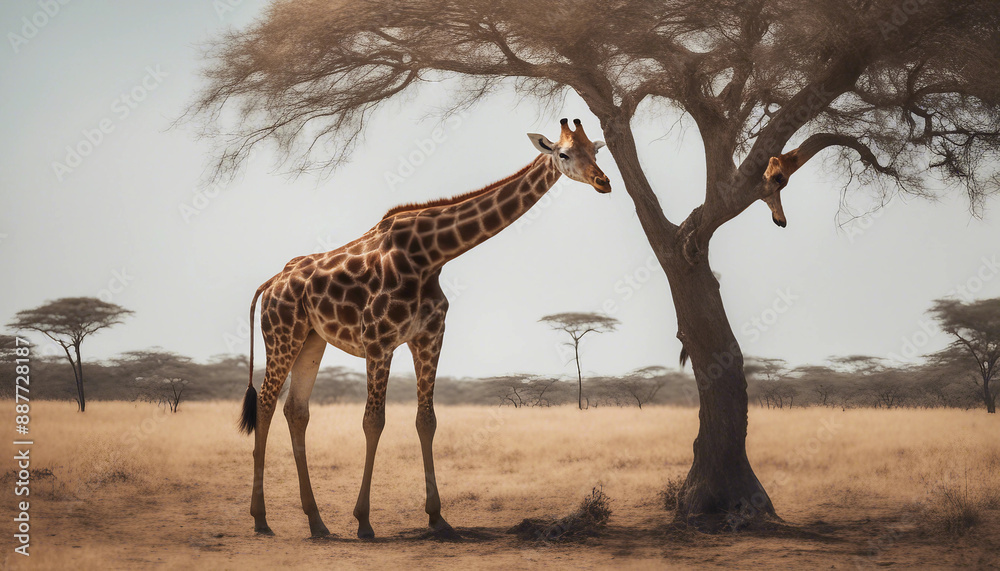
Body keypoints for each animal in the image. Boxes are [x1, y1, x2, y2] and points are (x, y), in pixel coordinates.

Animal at [238, 118, 610, 539]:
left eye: (596, 151)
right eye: (563, 153)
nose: (603, 182)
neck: (432, 255)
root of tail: (270, 283)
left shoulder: (429, 338)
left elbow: (426, 420)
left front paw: (437, 518)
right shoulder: (379, 341)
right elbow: (374, 422)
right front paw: (364, 521)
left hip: (311, 340)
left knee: (296, 410)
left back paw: (317, 523)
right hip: (281, 334)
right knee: (266, 404)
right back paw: (261, 519)